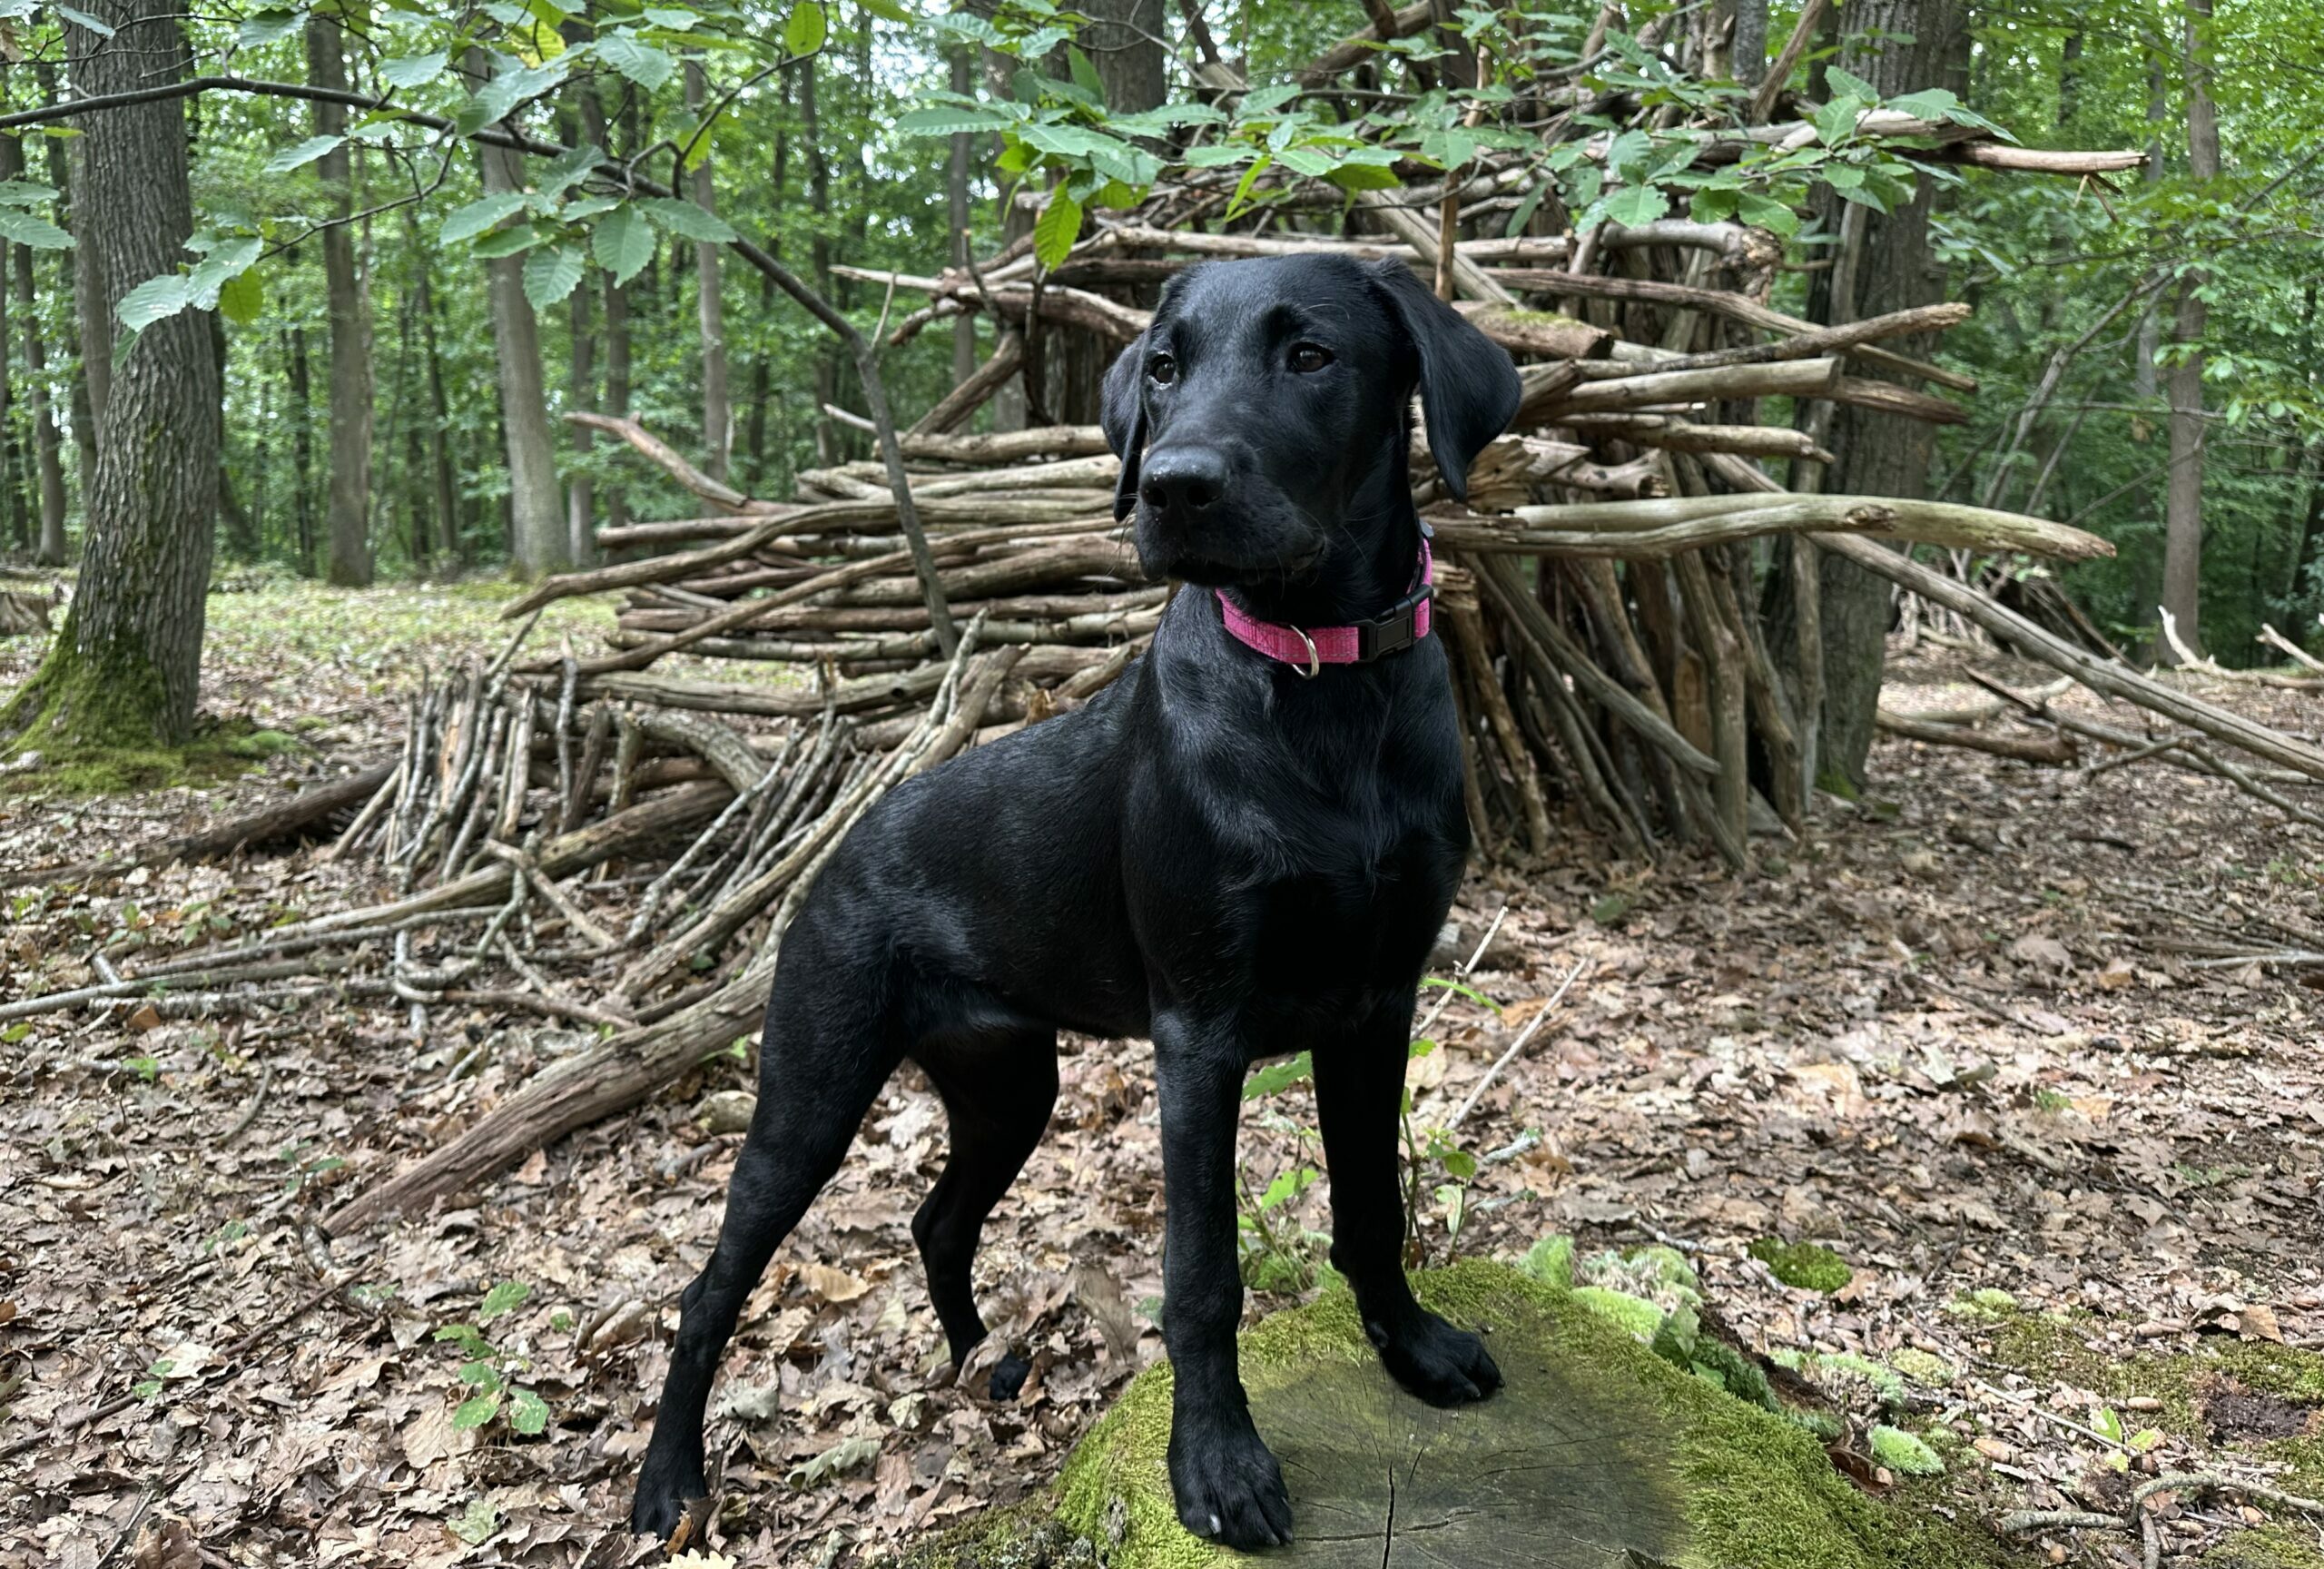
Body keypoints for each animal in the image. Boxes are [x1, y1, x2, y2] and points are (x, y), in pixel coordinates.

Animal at [627, 252, 1524, 1553]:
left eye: (1311, 356)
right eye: (1163, 368)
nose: (1173, 486)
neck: (1315, 682)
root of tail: (842, 846)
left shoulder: (1378, 1008)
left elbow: (1370, 1204)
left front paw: (1411, 1349)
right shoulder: (1200, 1035)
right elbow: (1202, 1275)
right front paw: (1217, 1466)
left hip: (1009, 1085)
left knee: (938, 1222)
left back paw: (981, 1361)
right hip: (813, 1090)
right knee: (709, 1288)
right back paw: (667, 1483)